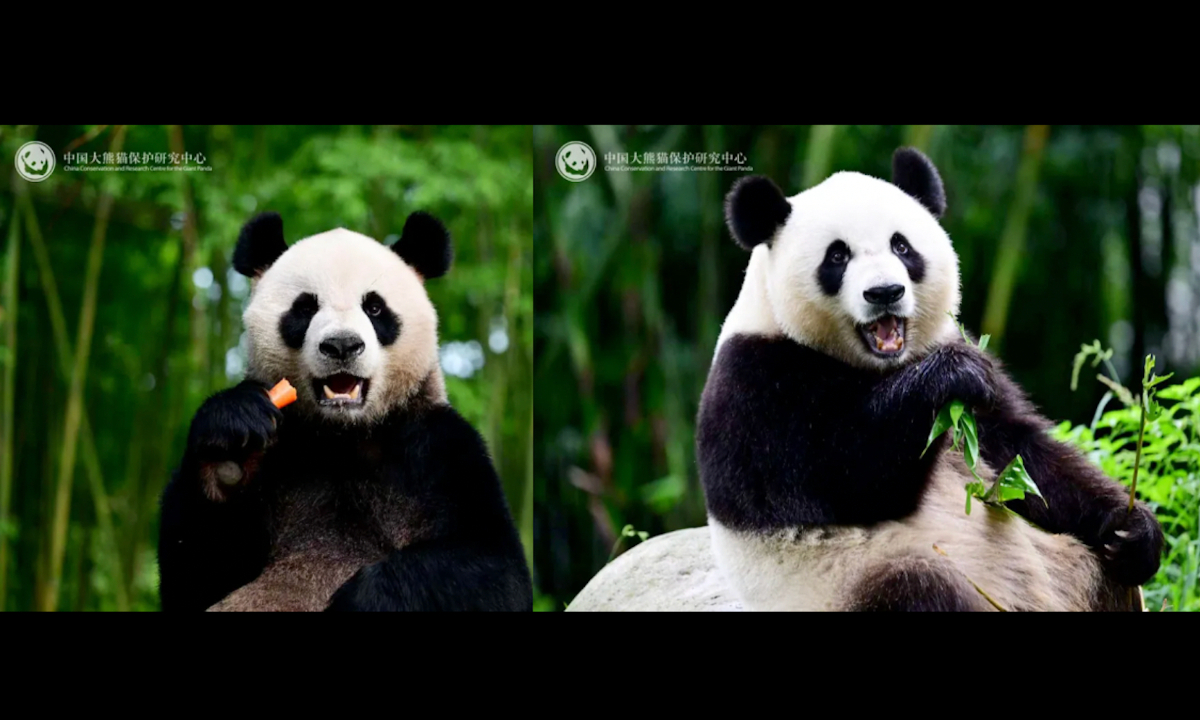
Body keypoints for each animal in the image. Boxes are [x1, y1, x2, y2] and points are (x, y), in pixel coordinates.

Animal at [157, 211, 532, 609]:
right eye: (305, 307)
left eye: (375, 307)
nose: (341, 345)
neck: (343, 434)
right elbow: (197, 574)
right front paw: (231, 445)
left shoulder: (438, 449)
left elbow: (497, 570)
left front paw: (362, 595)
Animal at [571, 147, 1161, 612]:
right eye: (837, 256)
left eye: (902, 246)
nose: (884, 293)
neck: (874, 366)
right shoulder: (753, 382)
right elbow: (844, 479)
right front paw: (950, 378)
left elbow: (1021, 454)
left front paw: (1134, 530)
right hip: (854, 583)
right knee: (918, 591)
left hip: (1070, 571)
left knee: (1107, 579)